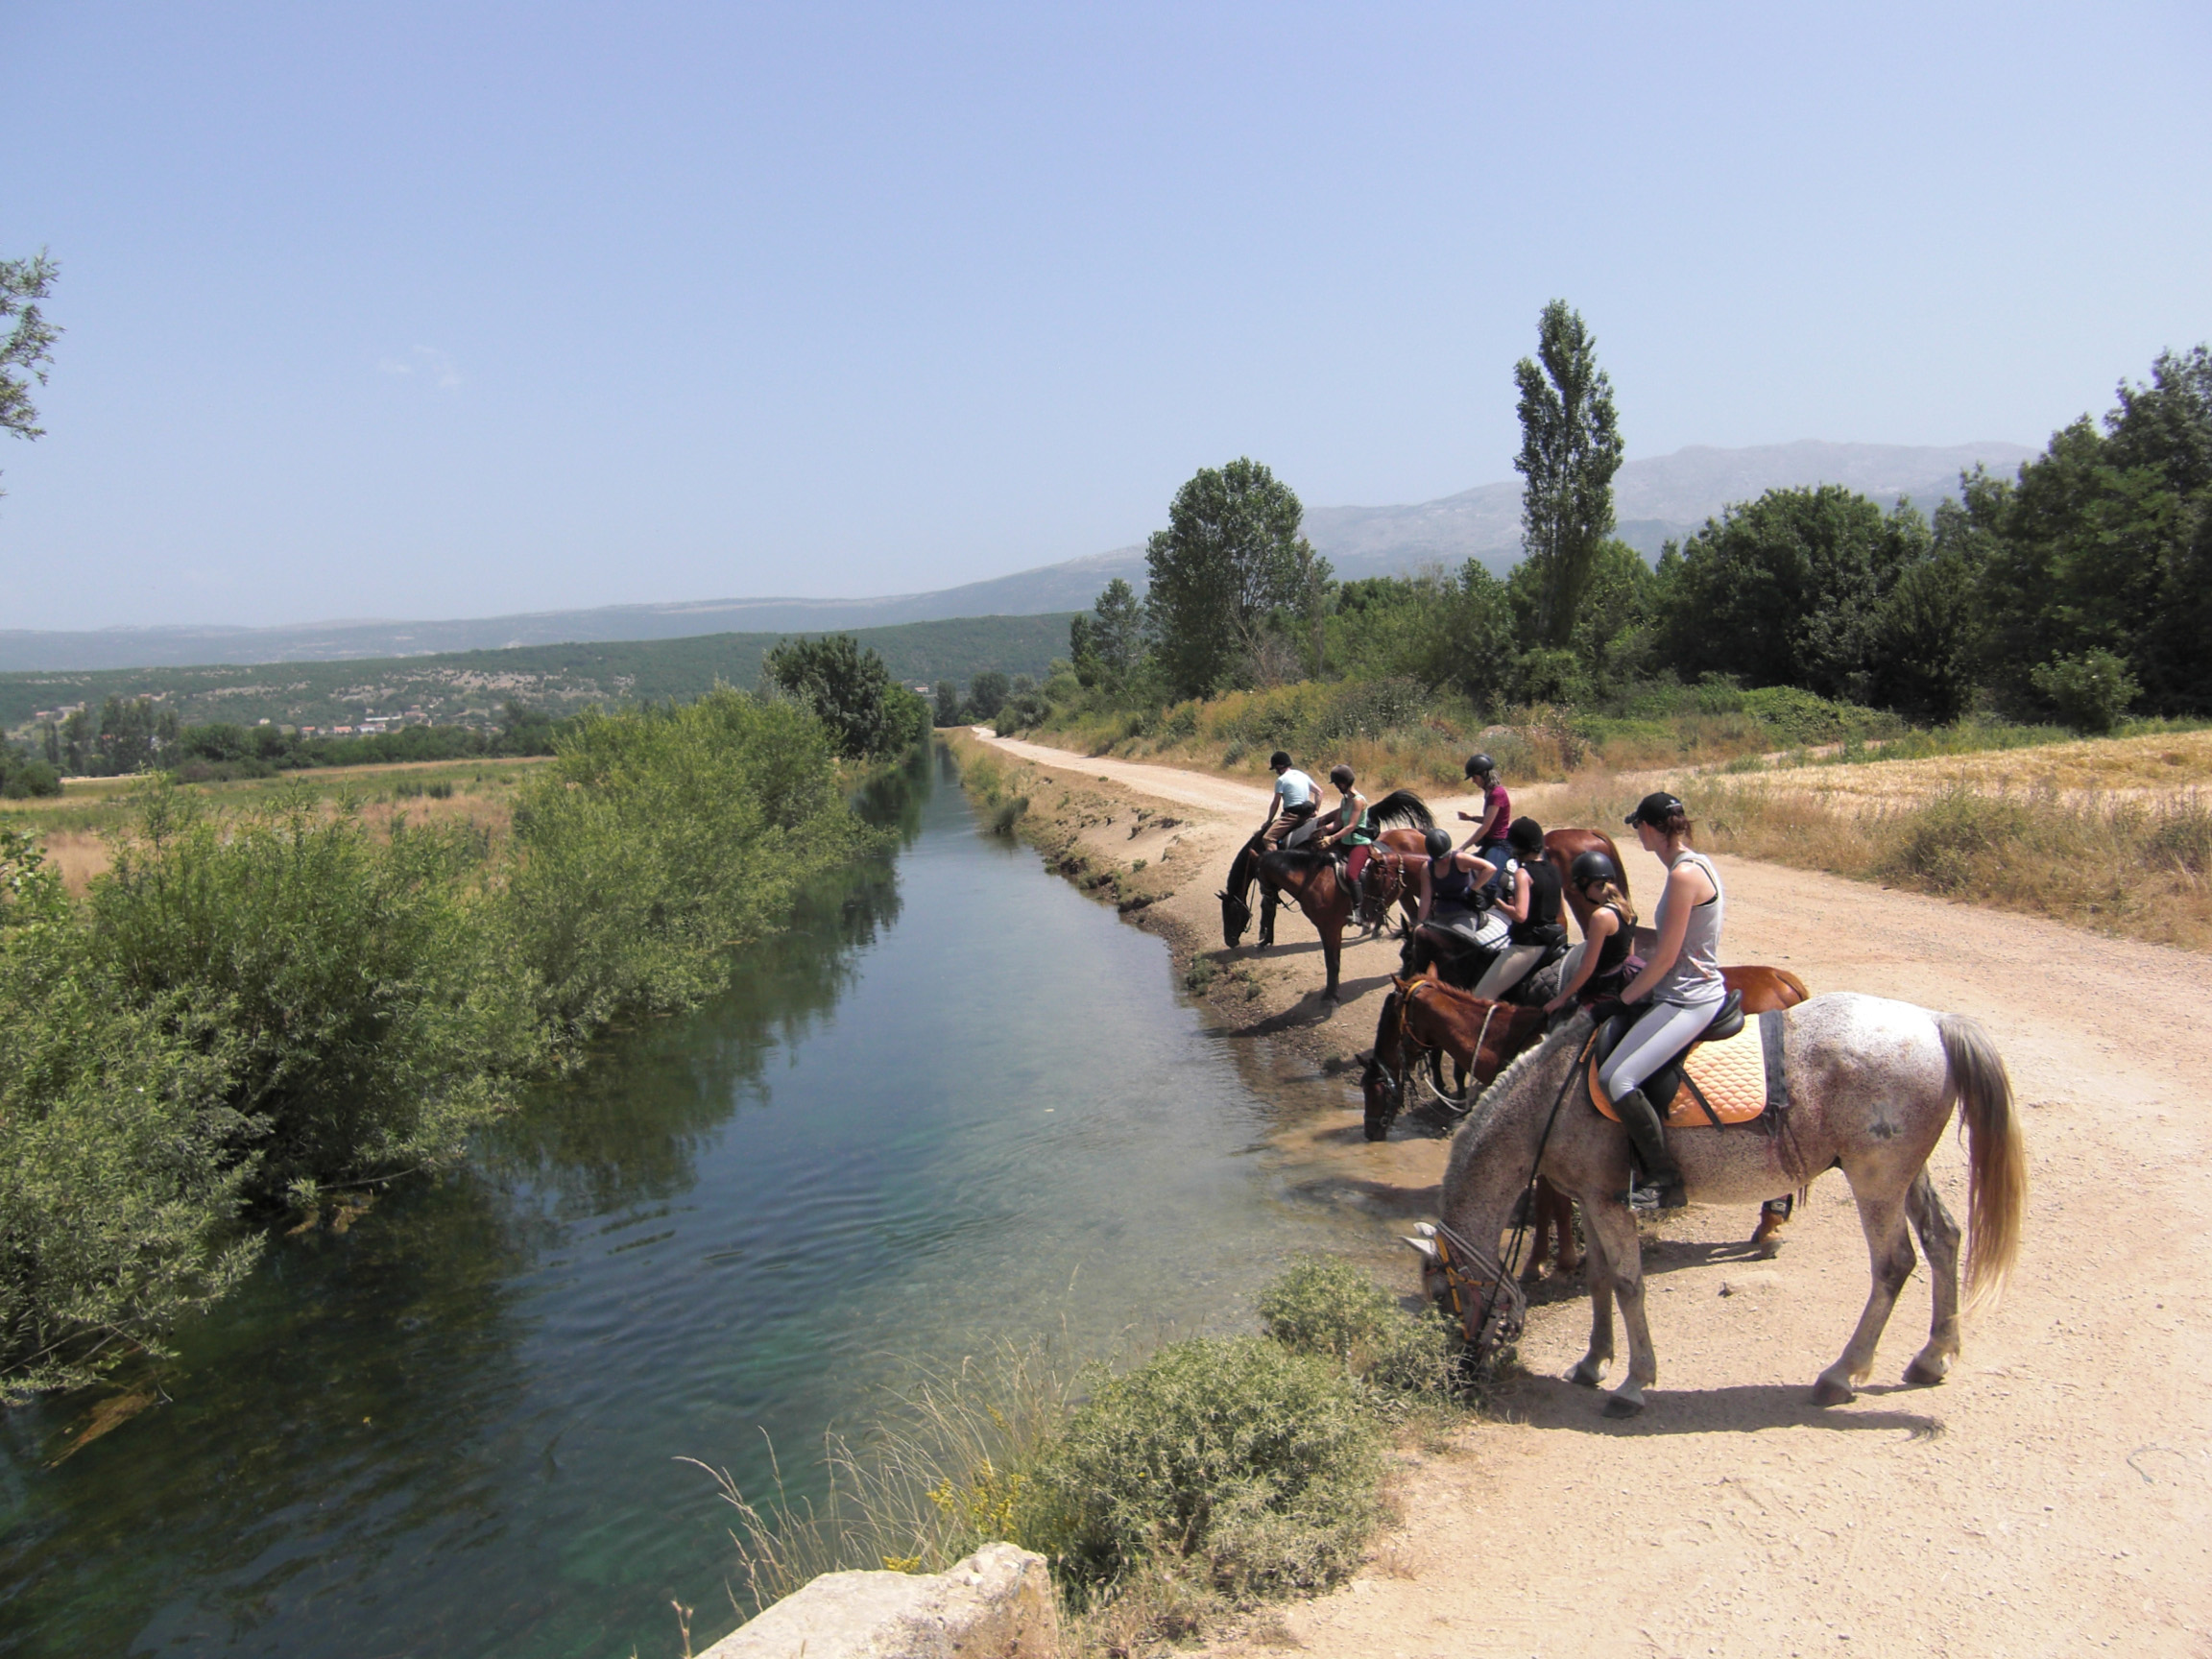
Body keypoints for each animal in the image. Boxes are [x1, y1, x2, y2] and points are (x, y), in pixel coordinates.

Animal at [1230, 787, 1432, 999]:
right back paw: (1374, 928)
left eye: (1232, 913)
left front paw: (1264, 939)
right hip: (1405, 894)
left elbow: (1269, 910)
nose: (1230, 940)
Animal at [1415, 995, 2026, 1424]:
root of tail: (1935, 1023)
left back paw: (1841, 1374)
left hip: (1875, 1180)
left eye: (1443, 1292)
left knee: (1894, 1265)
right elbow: (1599, 1279)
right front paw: (1594, 1362)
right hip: (1904, 1175)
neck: (1553, 1094)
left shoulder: (1609, 1203)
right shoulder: (1592, 1198)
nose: (1462, 1371)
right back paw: (1933, 1355)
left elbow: (1629, 1284)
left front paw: (1634, 1383)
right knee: (1944, 1239)